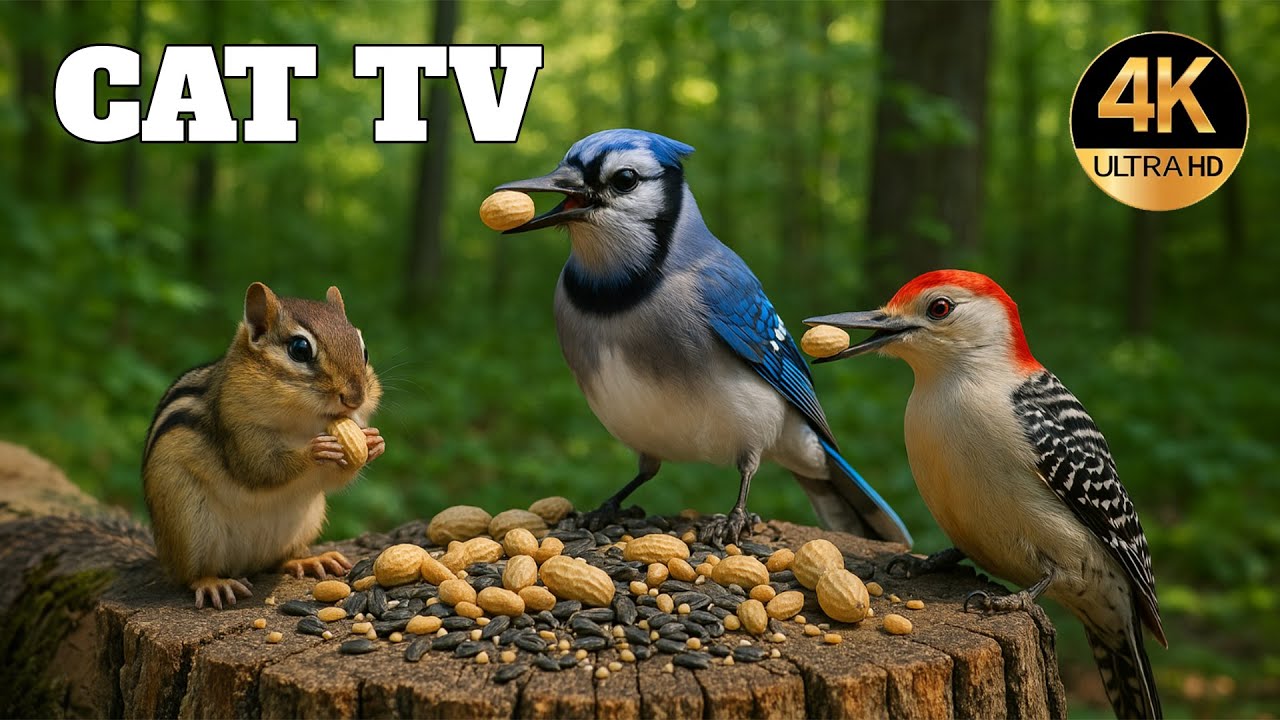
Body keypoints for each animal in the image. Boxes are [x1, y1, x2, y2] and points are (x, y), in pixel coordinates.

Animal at [142, 282, 385, 609]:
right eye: (300, 349)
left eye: (364, 350)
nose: (356, 398)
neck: (303, 424)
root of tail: (246, 564)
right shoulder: (236, 429)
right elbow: (258, 469)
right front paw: (315, 451)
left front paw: (373, 442)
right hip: (187, 524)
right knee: (190, 575)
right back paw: (212, 583)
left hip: (306, 521)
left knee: (279, 561)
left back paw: (309, 560)